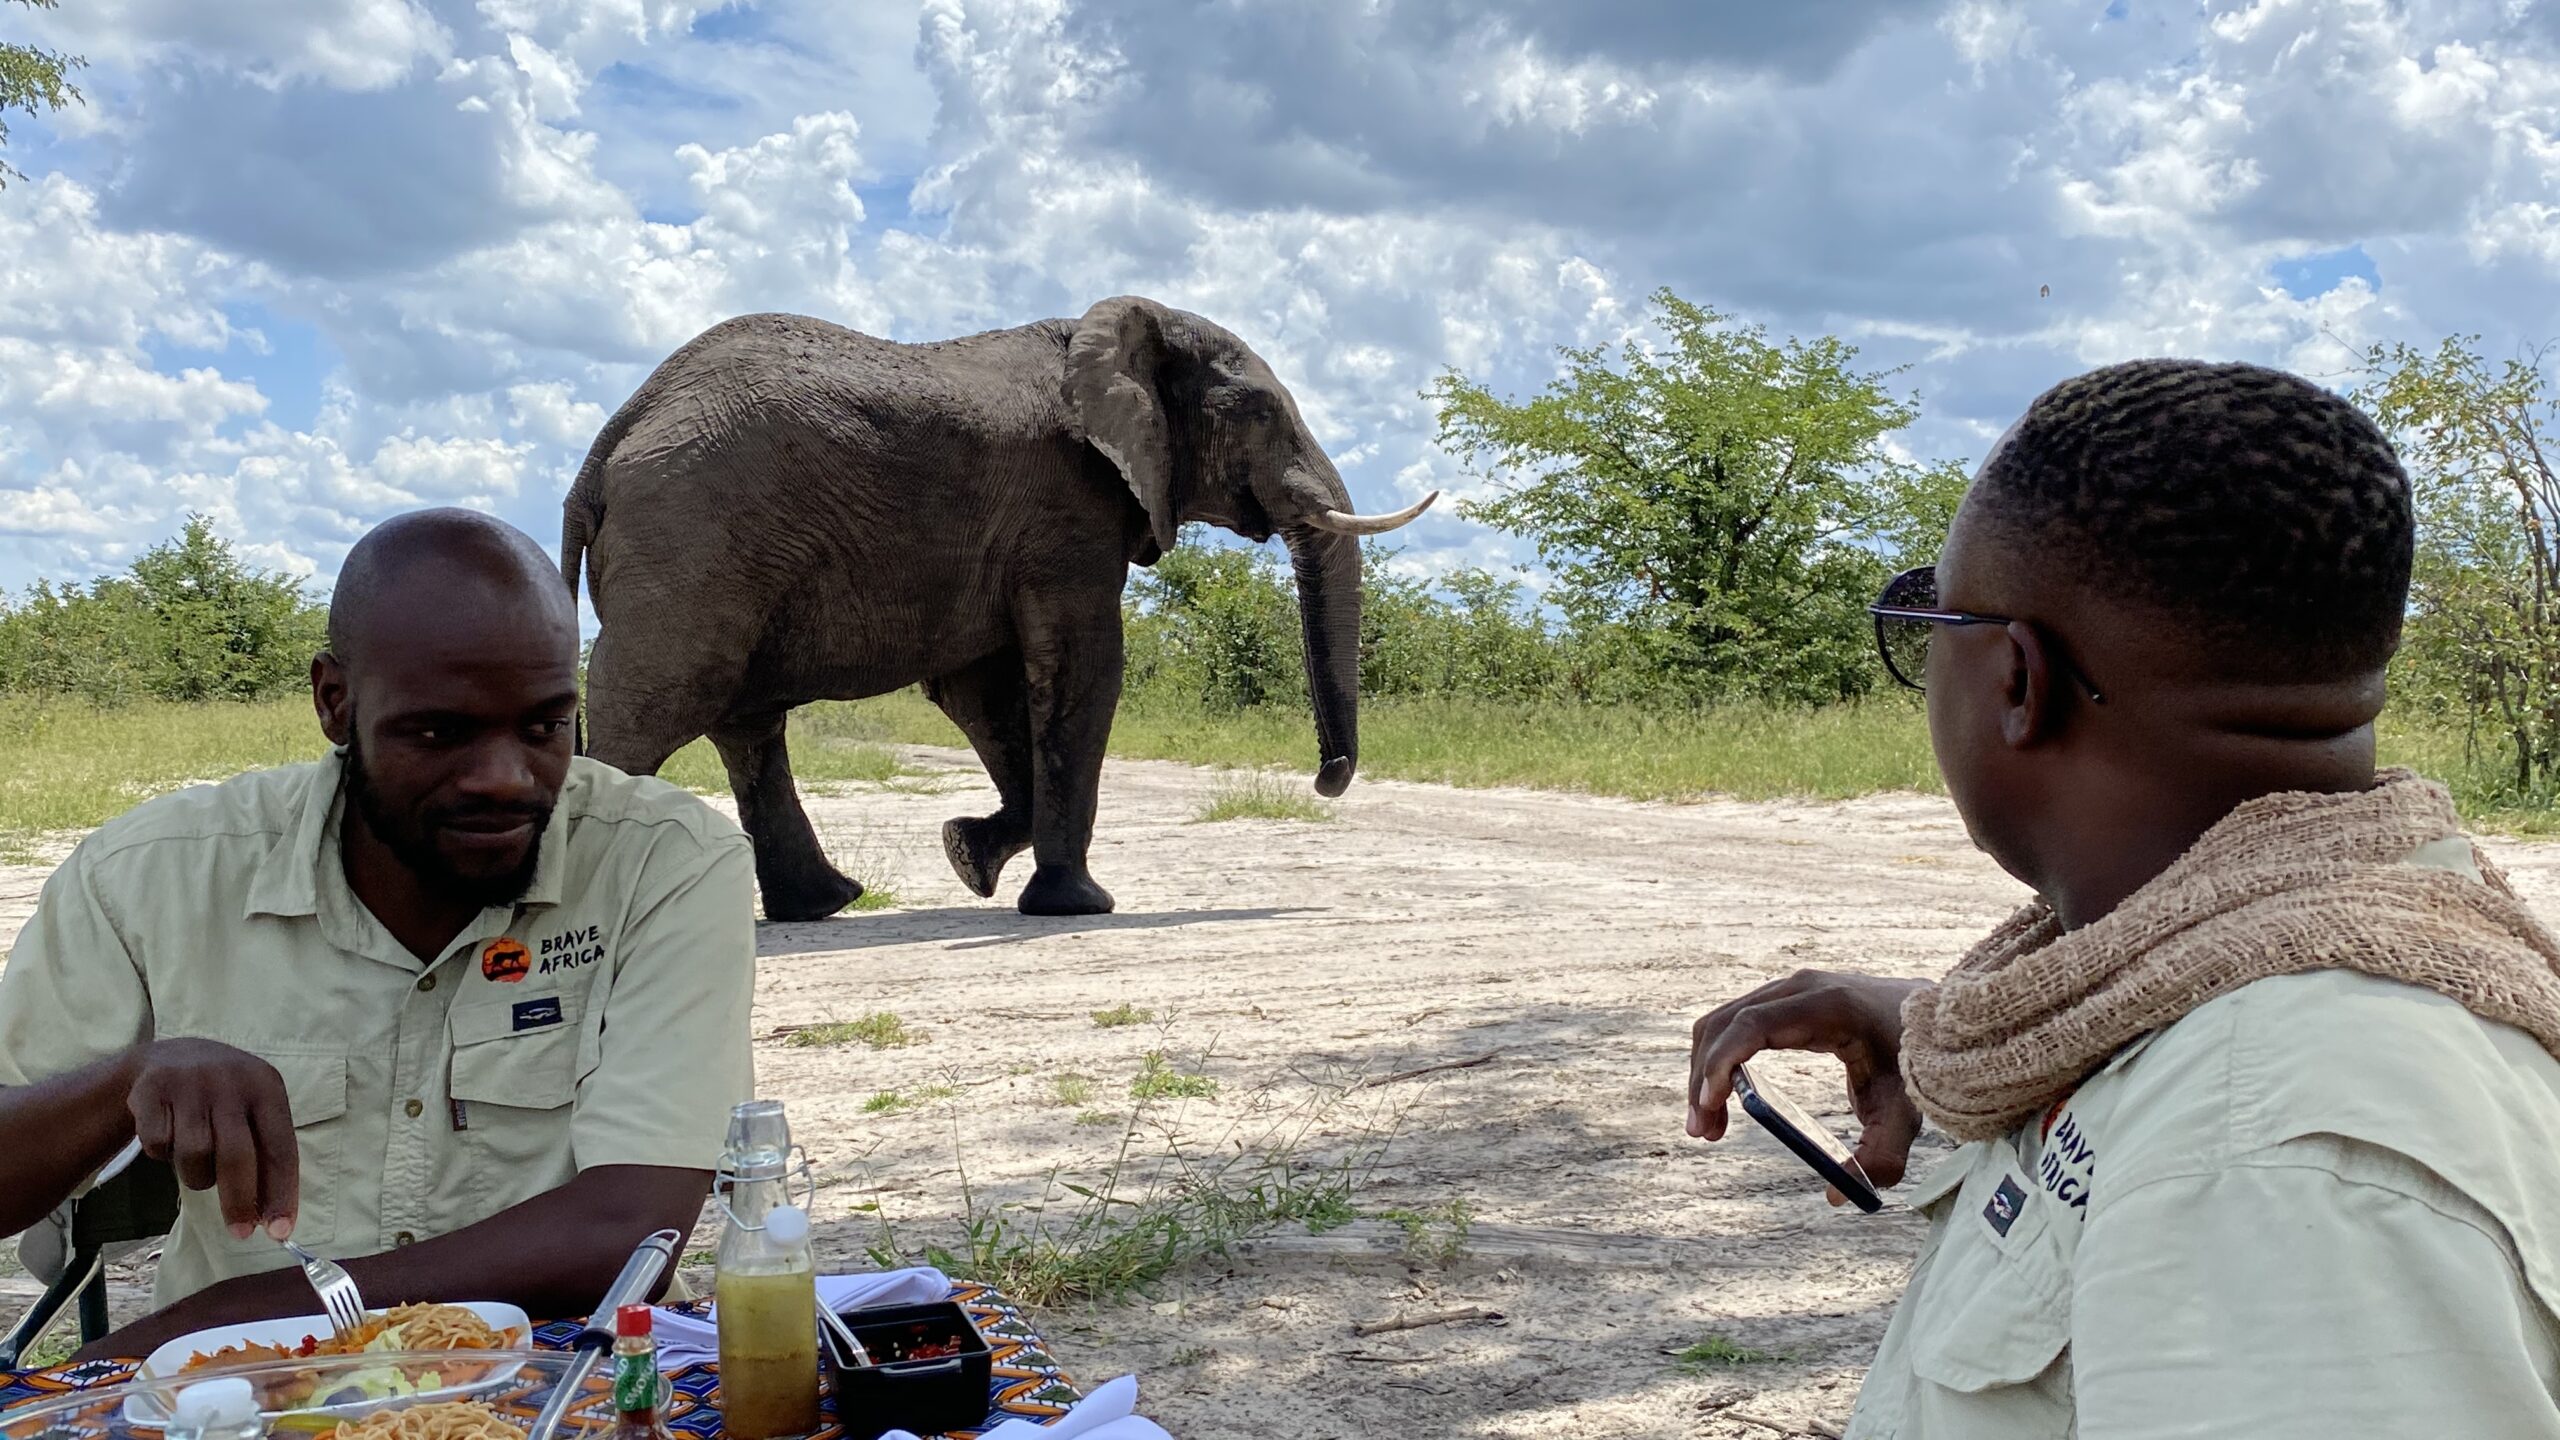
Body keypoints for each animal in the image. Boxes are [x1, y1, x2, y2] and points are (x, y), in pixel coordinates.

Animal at [560, 295, 1433, 912]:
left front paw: (968, 857)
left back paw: (825, 905)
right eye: (1260, 411)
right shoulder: (1066, 504)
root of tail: (604, 449)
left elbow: (983, 692)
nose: (1325, 777)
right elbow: (1084, 667)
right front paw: (1077, 906)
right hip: (691, 542)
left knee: (746, 728)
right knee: (655, 707)